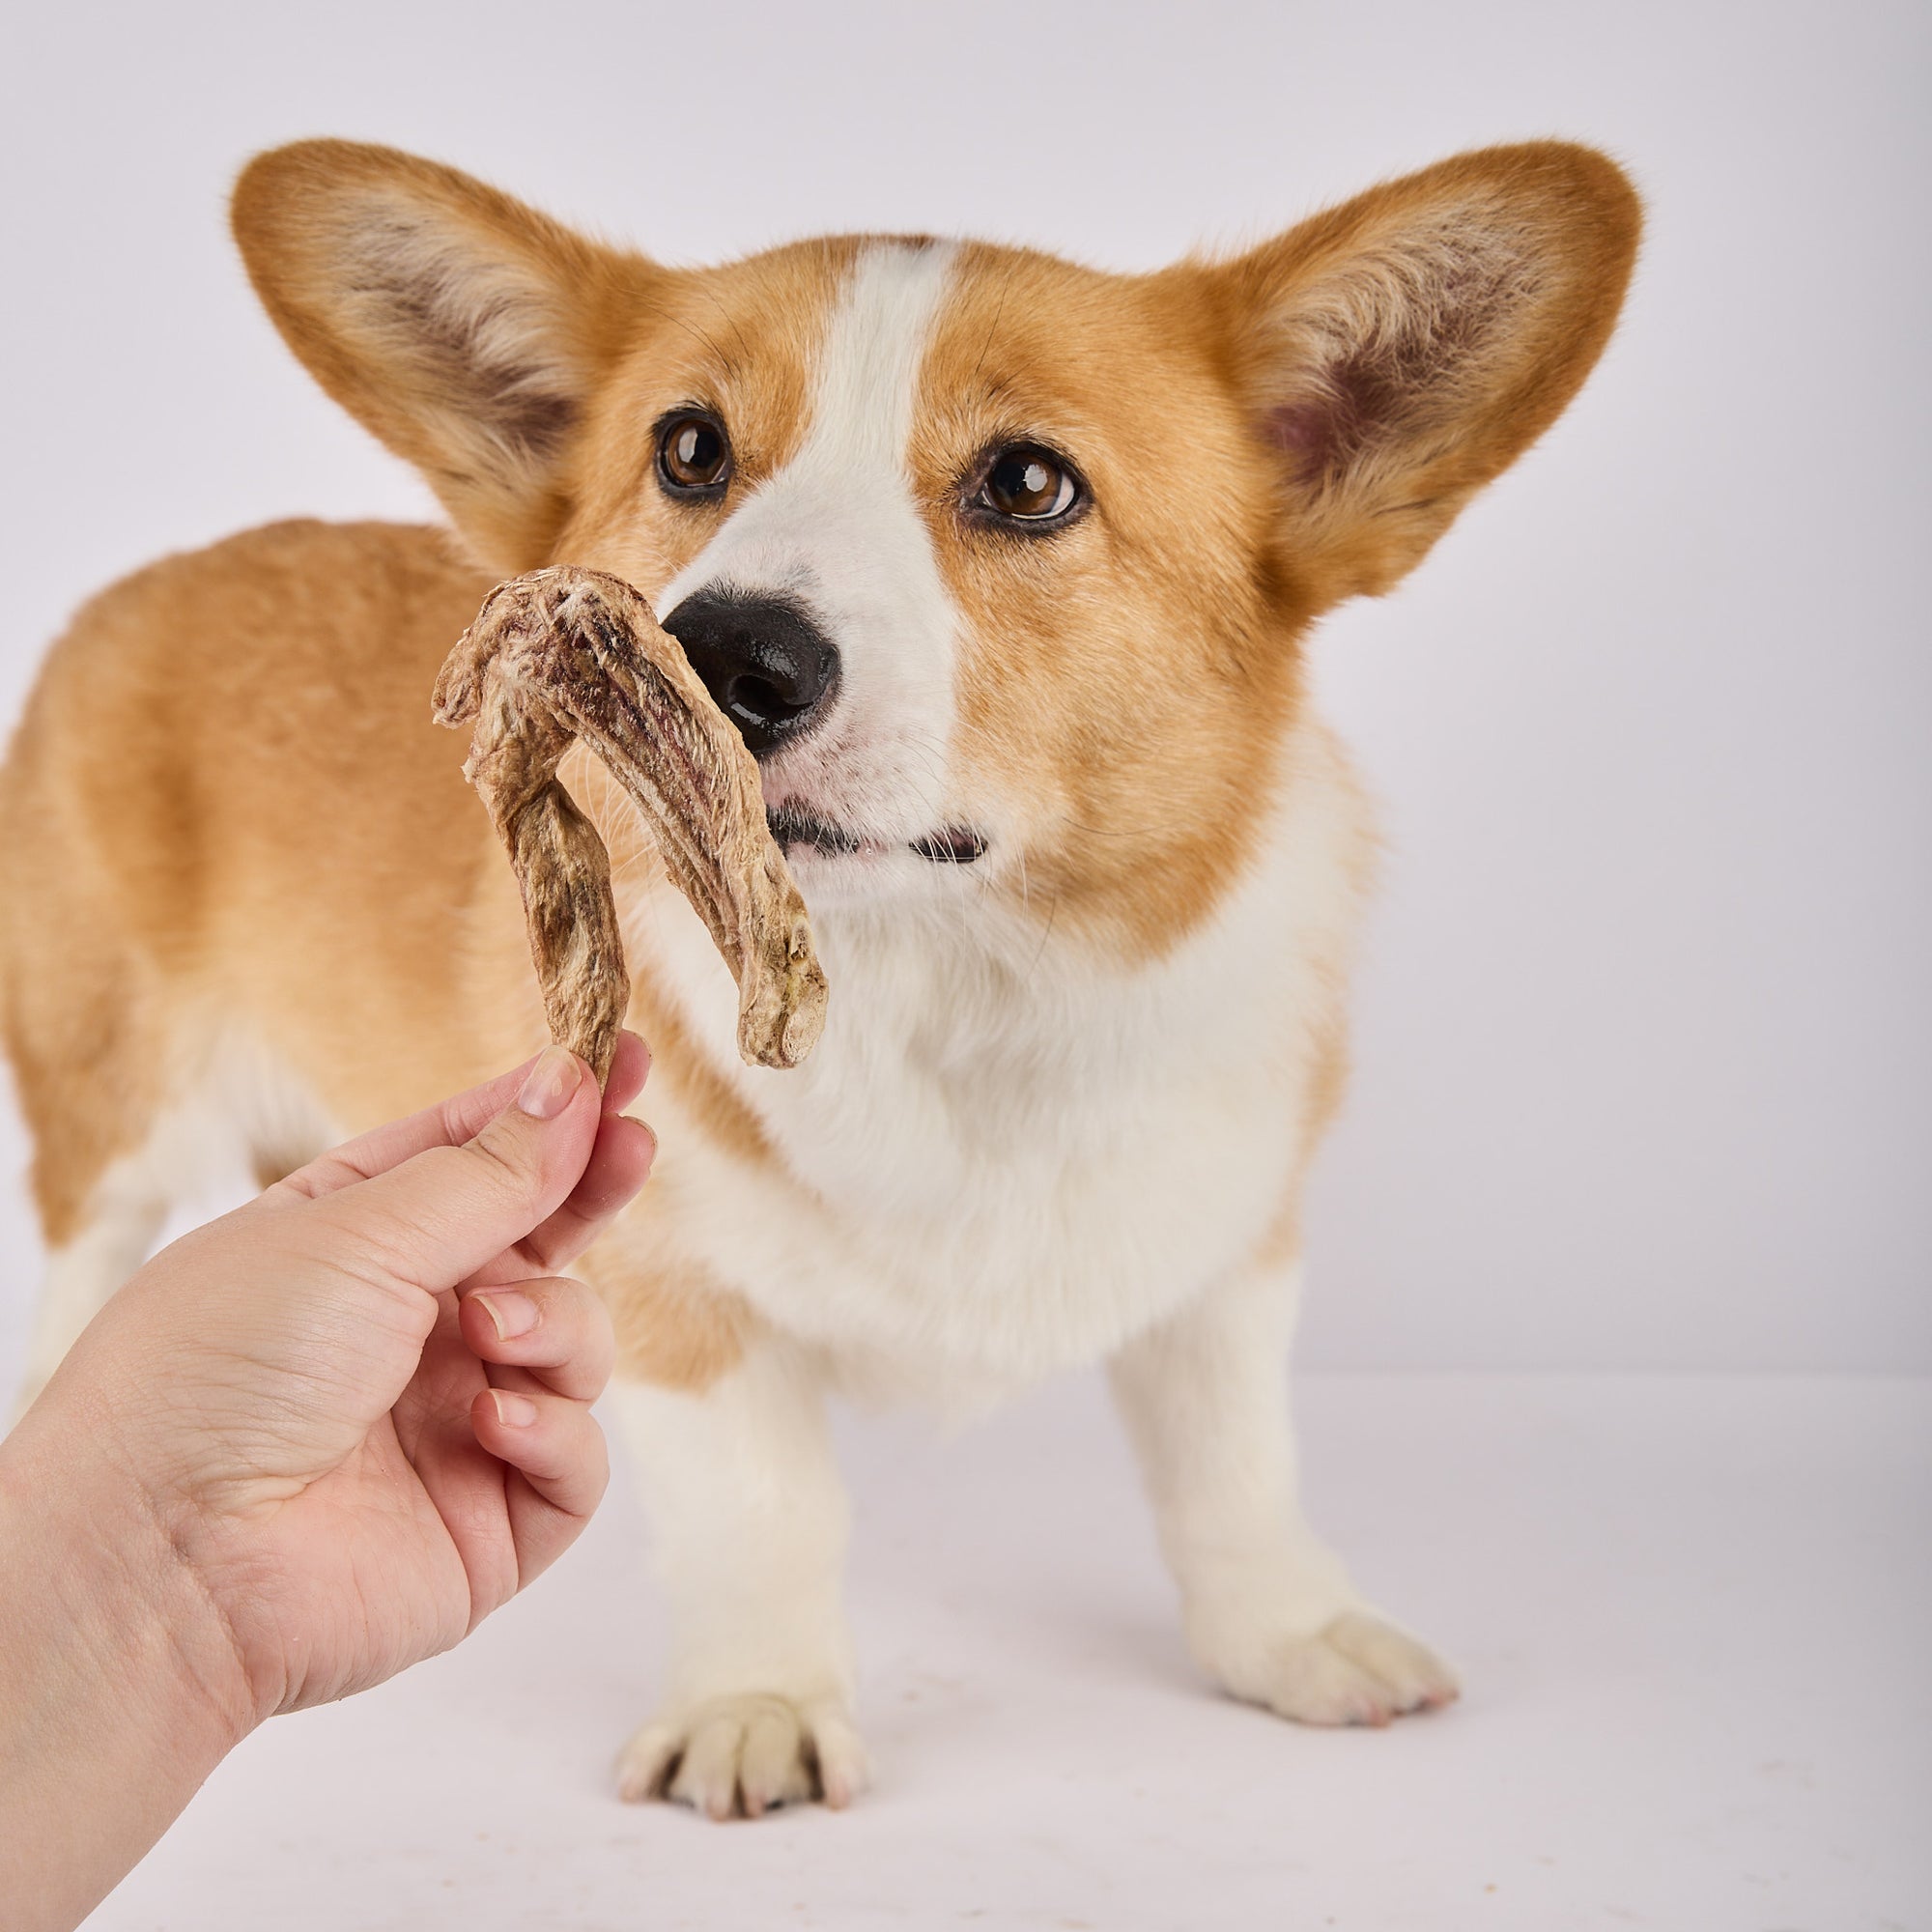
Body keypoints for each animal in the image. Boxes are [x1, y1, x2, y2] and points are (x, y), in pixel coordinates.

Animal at [0, 136, 1638, 1808]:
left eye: (1030, 481)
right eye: (690, 451)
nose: (728, 655)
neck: (945, 986)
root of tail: (129, 591)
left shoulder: (1230, 1244)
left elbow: (1232, 1460)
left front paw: (1292, 1633)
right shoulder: (677, 1296)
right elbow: (766, 1511)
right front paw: (759, 1707)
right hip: (114, 1111)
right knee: (86, 1264)